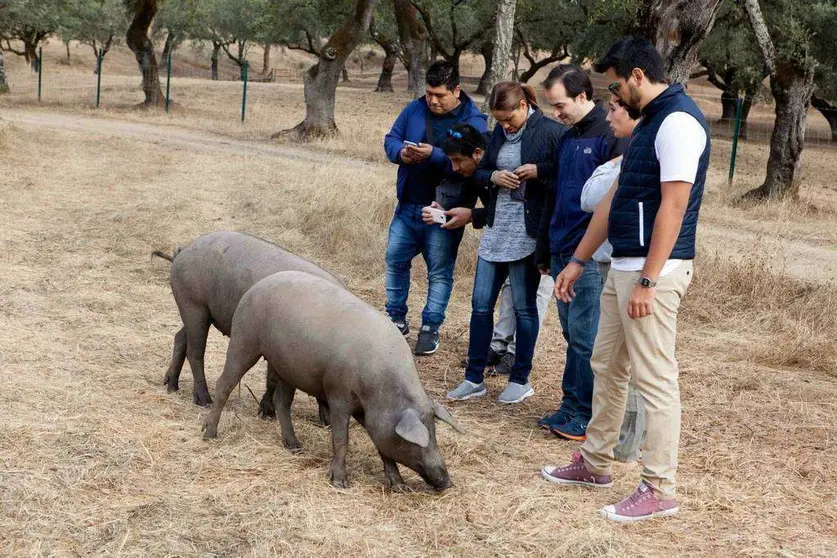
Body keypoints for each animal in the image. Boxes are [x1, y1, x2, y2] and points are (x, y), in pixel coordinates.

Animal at [153, 232, 342, 416]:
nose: (327, 421)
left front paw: (267, 412)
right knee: (195, 352)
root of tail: (183, 251)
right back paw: (204, 400)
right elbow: (272, 379)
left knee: (180, 338)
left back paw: (172, 386)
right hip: (193, 307)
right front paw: (267, 413)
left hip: (200, 314)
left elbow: (272, 379)